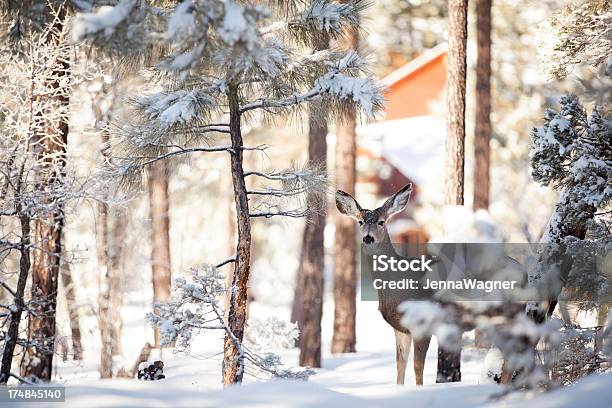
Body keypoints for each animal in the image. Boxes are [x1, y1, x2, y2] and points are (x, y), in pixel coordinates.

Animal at [338, 183, 432, 388]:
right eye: (360, 222)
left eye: (381, 222)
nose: (368, 238)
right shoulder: (400, 328)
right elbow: (400, 366)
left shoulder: (423, 324)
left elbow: (418, 368)